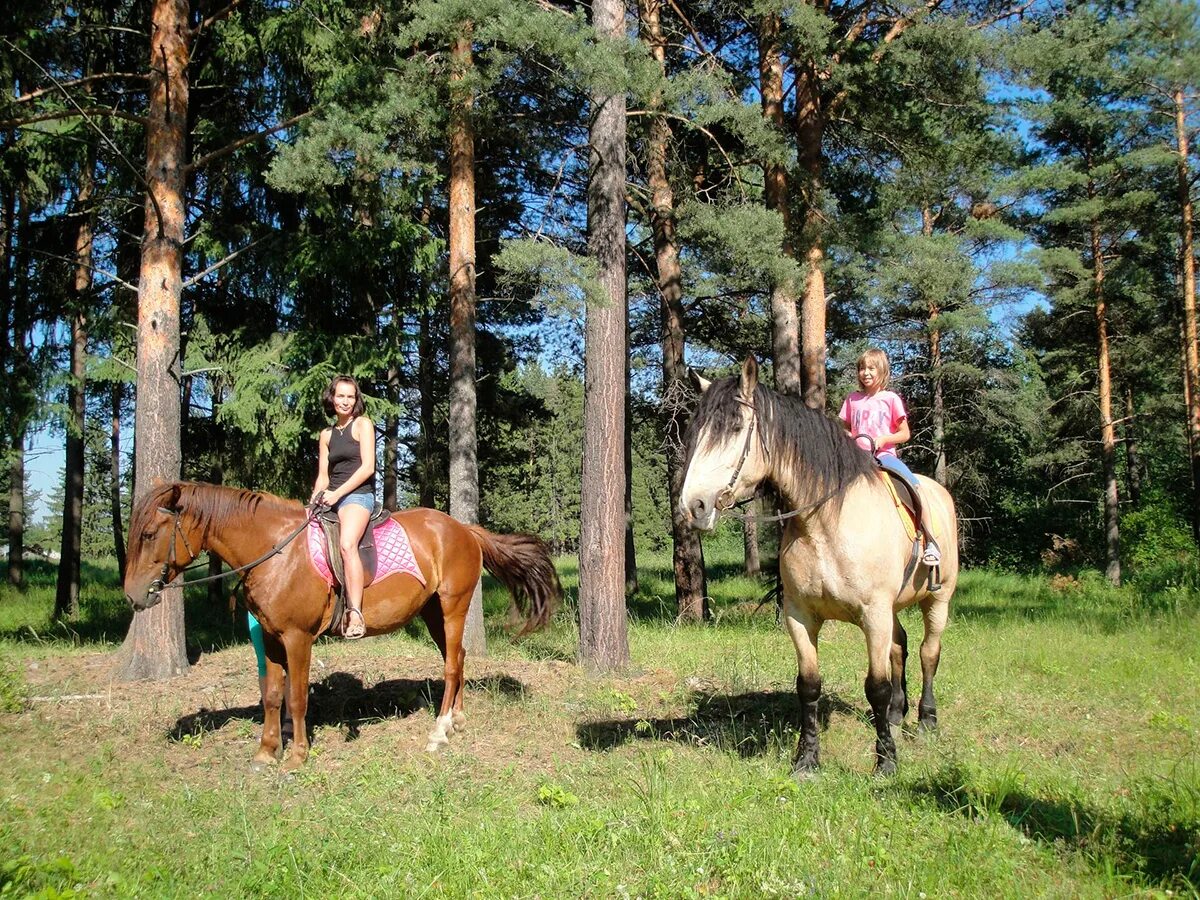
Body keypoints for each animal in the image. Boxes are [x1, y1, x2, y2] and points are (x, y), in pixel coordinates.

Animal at [124, 482, 564, 772]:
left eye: (149, 534)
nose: (133, 595)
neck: (276, 551)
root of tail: (464, 529)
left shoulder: (297, 639)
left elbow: (297, 699)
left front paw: (297, 755)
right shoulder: (271, 639)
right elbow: (272, 696)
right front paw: (266, 752)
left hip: (453, 607)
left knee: (453, 667)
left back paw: (439, 732)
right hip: (433, 613)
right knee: (458, 659)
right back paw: (455, 719)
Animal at [681, 357, 960, 777]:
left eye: (734, 427)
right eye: (696, 431)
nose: (692, 506)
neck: (826, 523)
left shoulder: (873, 615)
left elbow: (875, 686)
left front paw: (885, 762)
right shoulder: (800, 616)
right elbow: (809, 685)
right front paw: (807, 759)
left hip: (936, 601)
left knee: (929, 653)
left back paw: (926, 720)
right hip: (894, 608)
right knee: (901, 648)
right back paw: (898, 714)